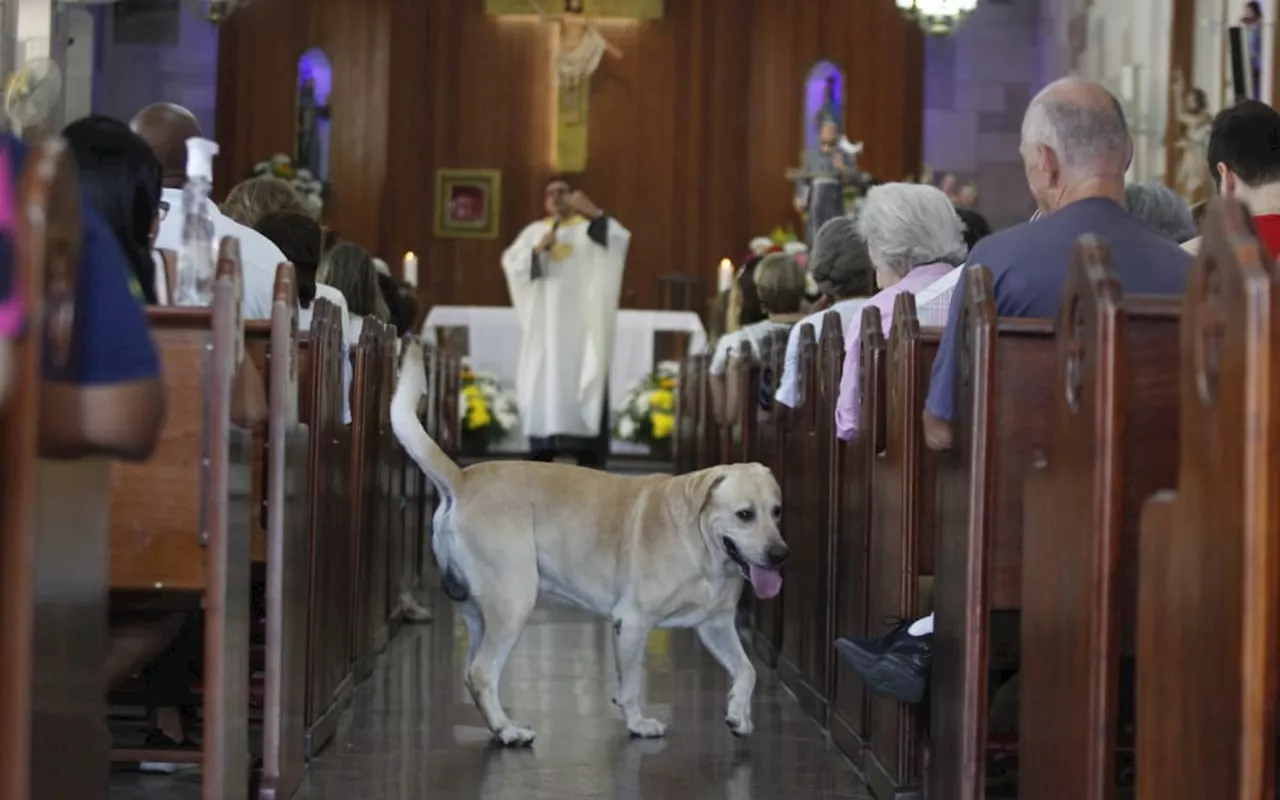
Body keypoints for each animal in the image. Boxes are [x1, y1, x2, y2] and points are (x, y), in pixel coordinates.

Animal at [391, 340, 788, 747]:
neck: (705, 550)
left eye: (776, 511)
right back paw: (509, 731)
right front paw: (638, 724)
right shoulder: (632, 622)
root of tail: (462, 478)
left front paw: (738, 714)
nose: (780, 555)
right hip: (514, 601)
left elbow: (748, 671)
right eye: (744, 514)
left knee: (472, 672)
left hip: (479, 614)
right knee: (482, 672)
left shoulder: (716, 624)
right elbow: (630, 685)